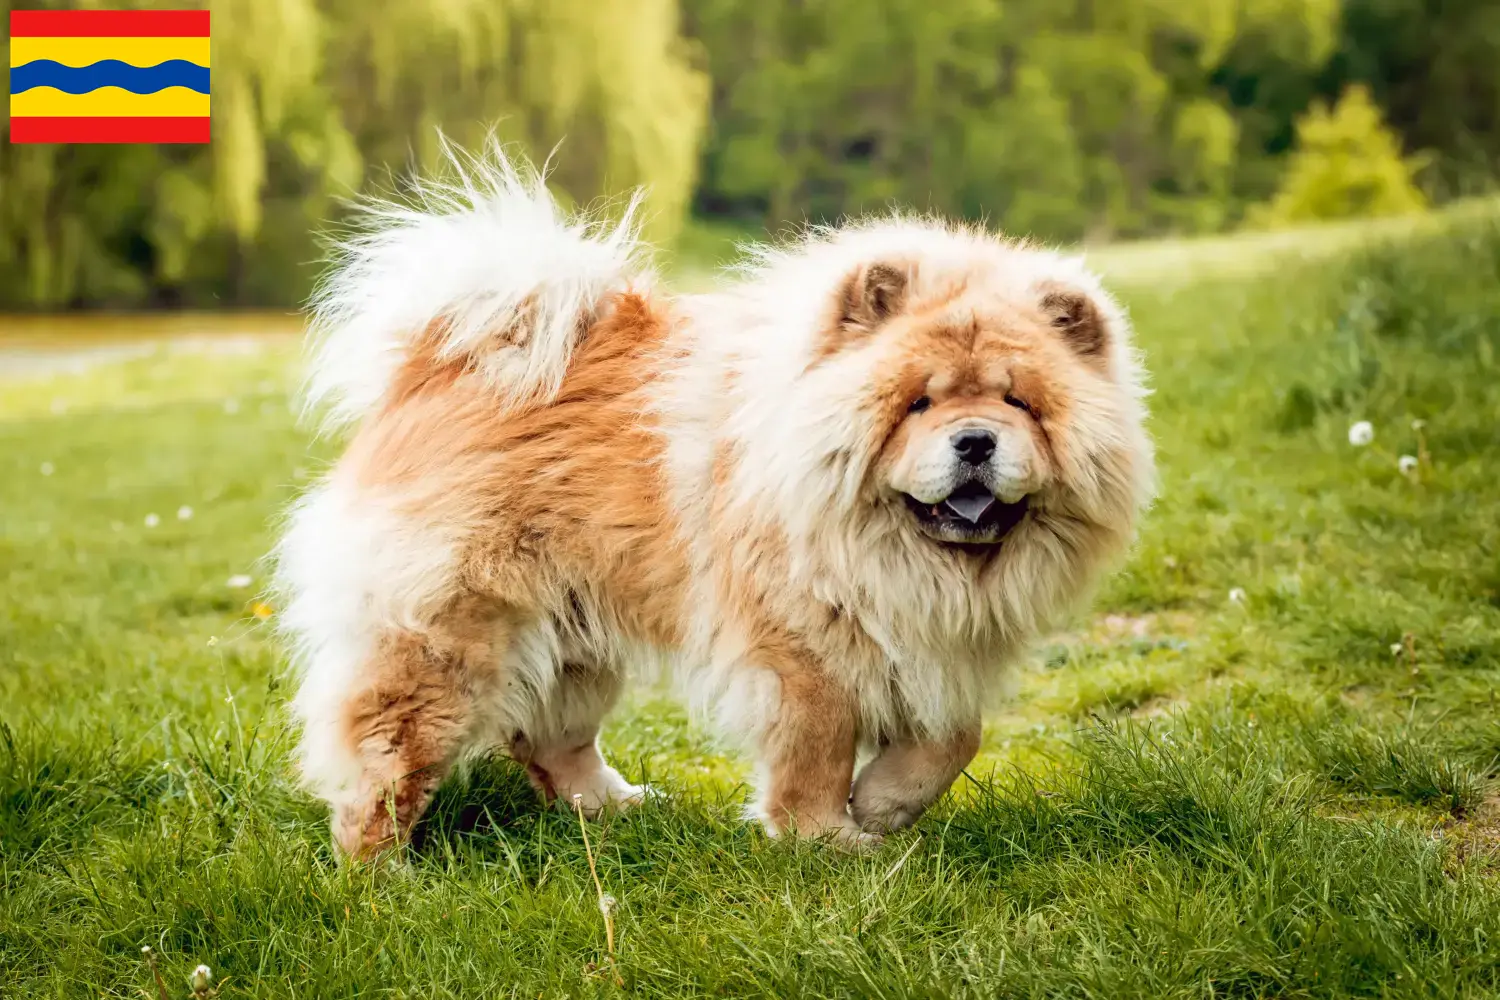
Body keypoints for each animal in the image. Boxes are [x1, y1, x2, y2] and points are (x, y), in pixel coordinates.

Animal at [276, 144, 1152, 857]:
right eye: (918, 405)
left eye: (1019, 403)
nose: (975, 441)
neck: (893, 549)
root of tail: (439, 361)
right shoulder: (802, 649)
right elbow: (818, 748)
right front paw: (827, 839)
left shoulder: (935, 641)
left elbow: (954, 740)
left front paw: (883, 807)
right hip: (448, 634)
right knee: (387, 750)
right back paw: (382, 872)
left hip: (571, 631)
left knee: (551, 738)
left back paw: (620, 809)